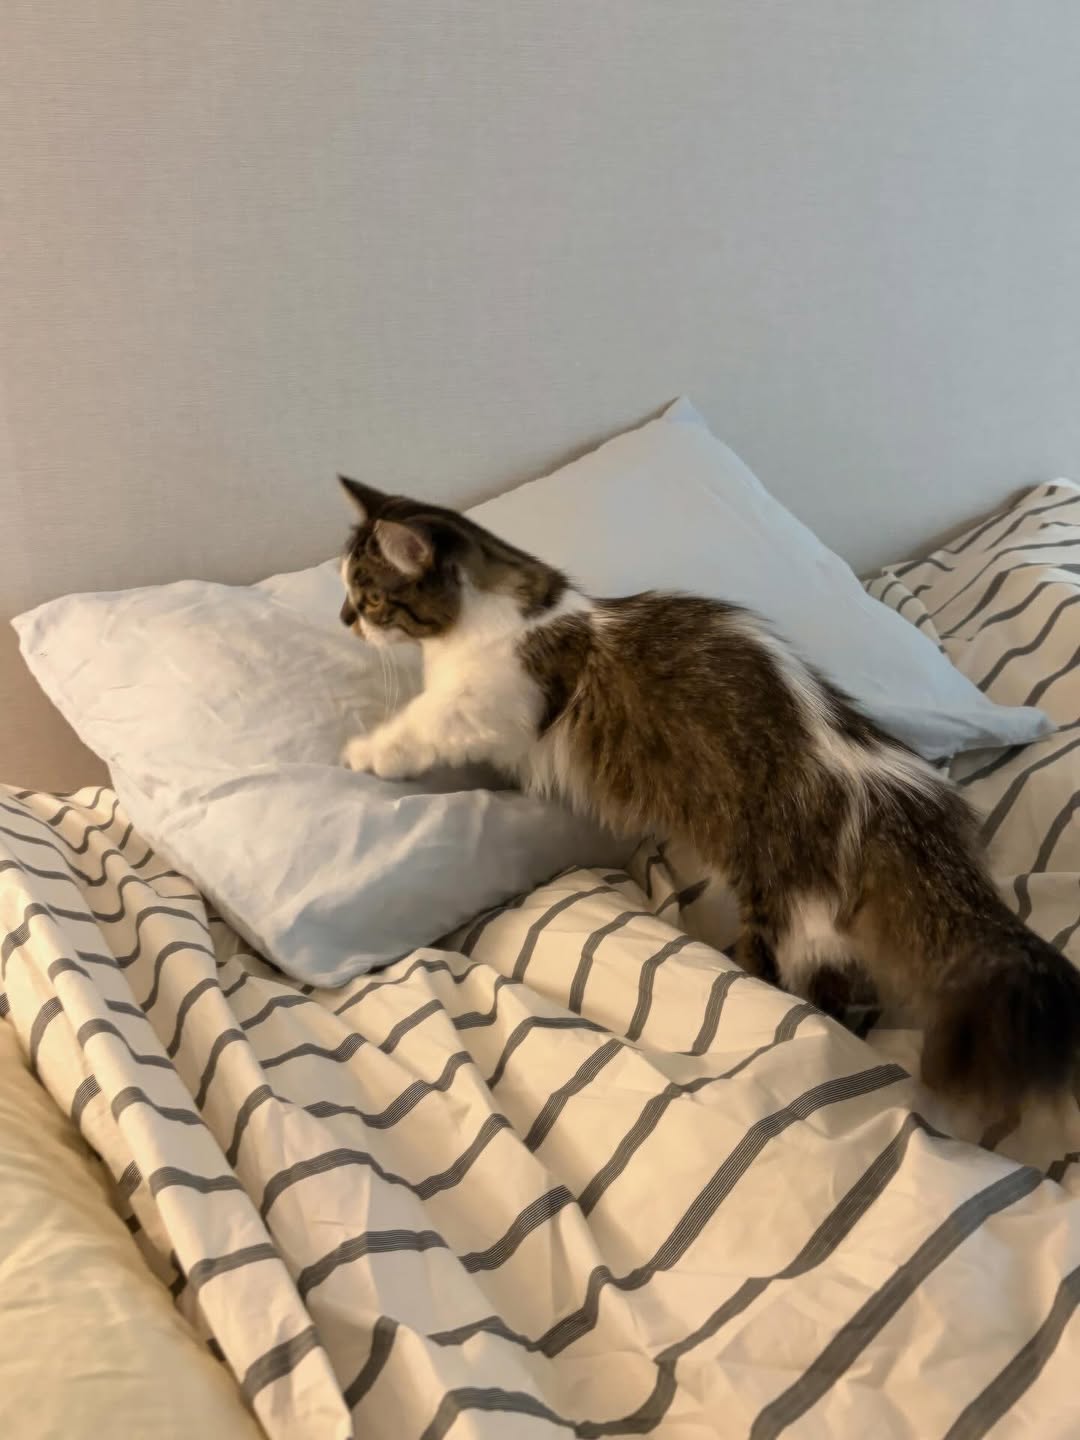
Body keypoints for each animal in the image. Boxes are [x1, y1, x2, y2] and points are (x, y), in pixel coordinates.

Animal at [336, 475, 1080, 1114]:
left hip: (784, 912)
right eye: (346, 593)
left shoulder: (488, 706)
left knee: (811, 994)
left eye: (367, 596)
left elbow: (420, 727)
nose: (344, 620)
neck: (511, 610)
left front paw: (364, 754)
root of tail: (883, 793)